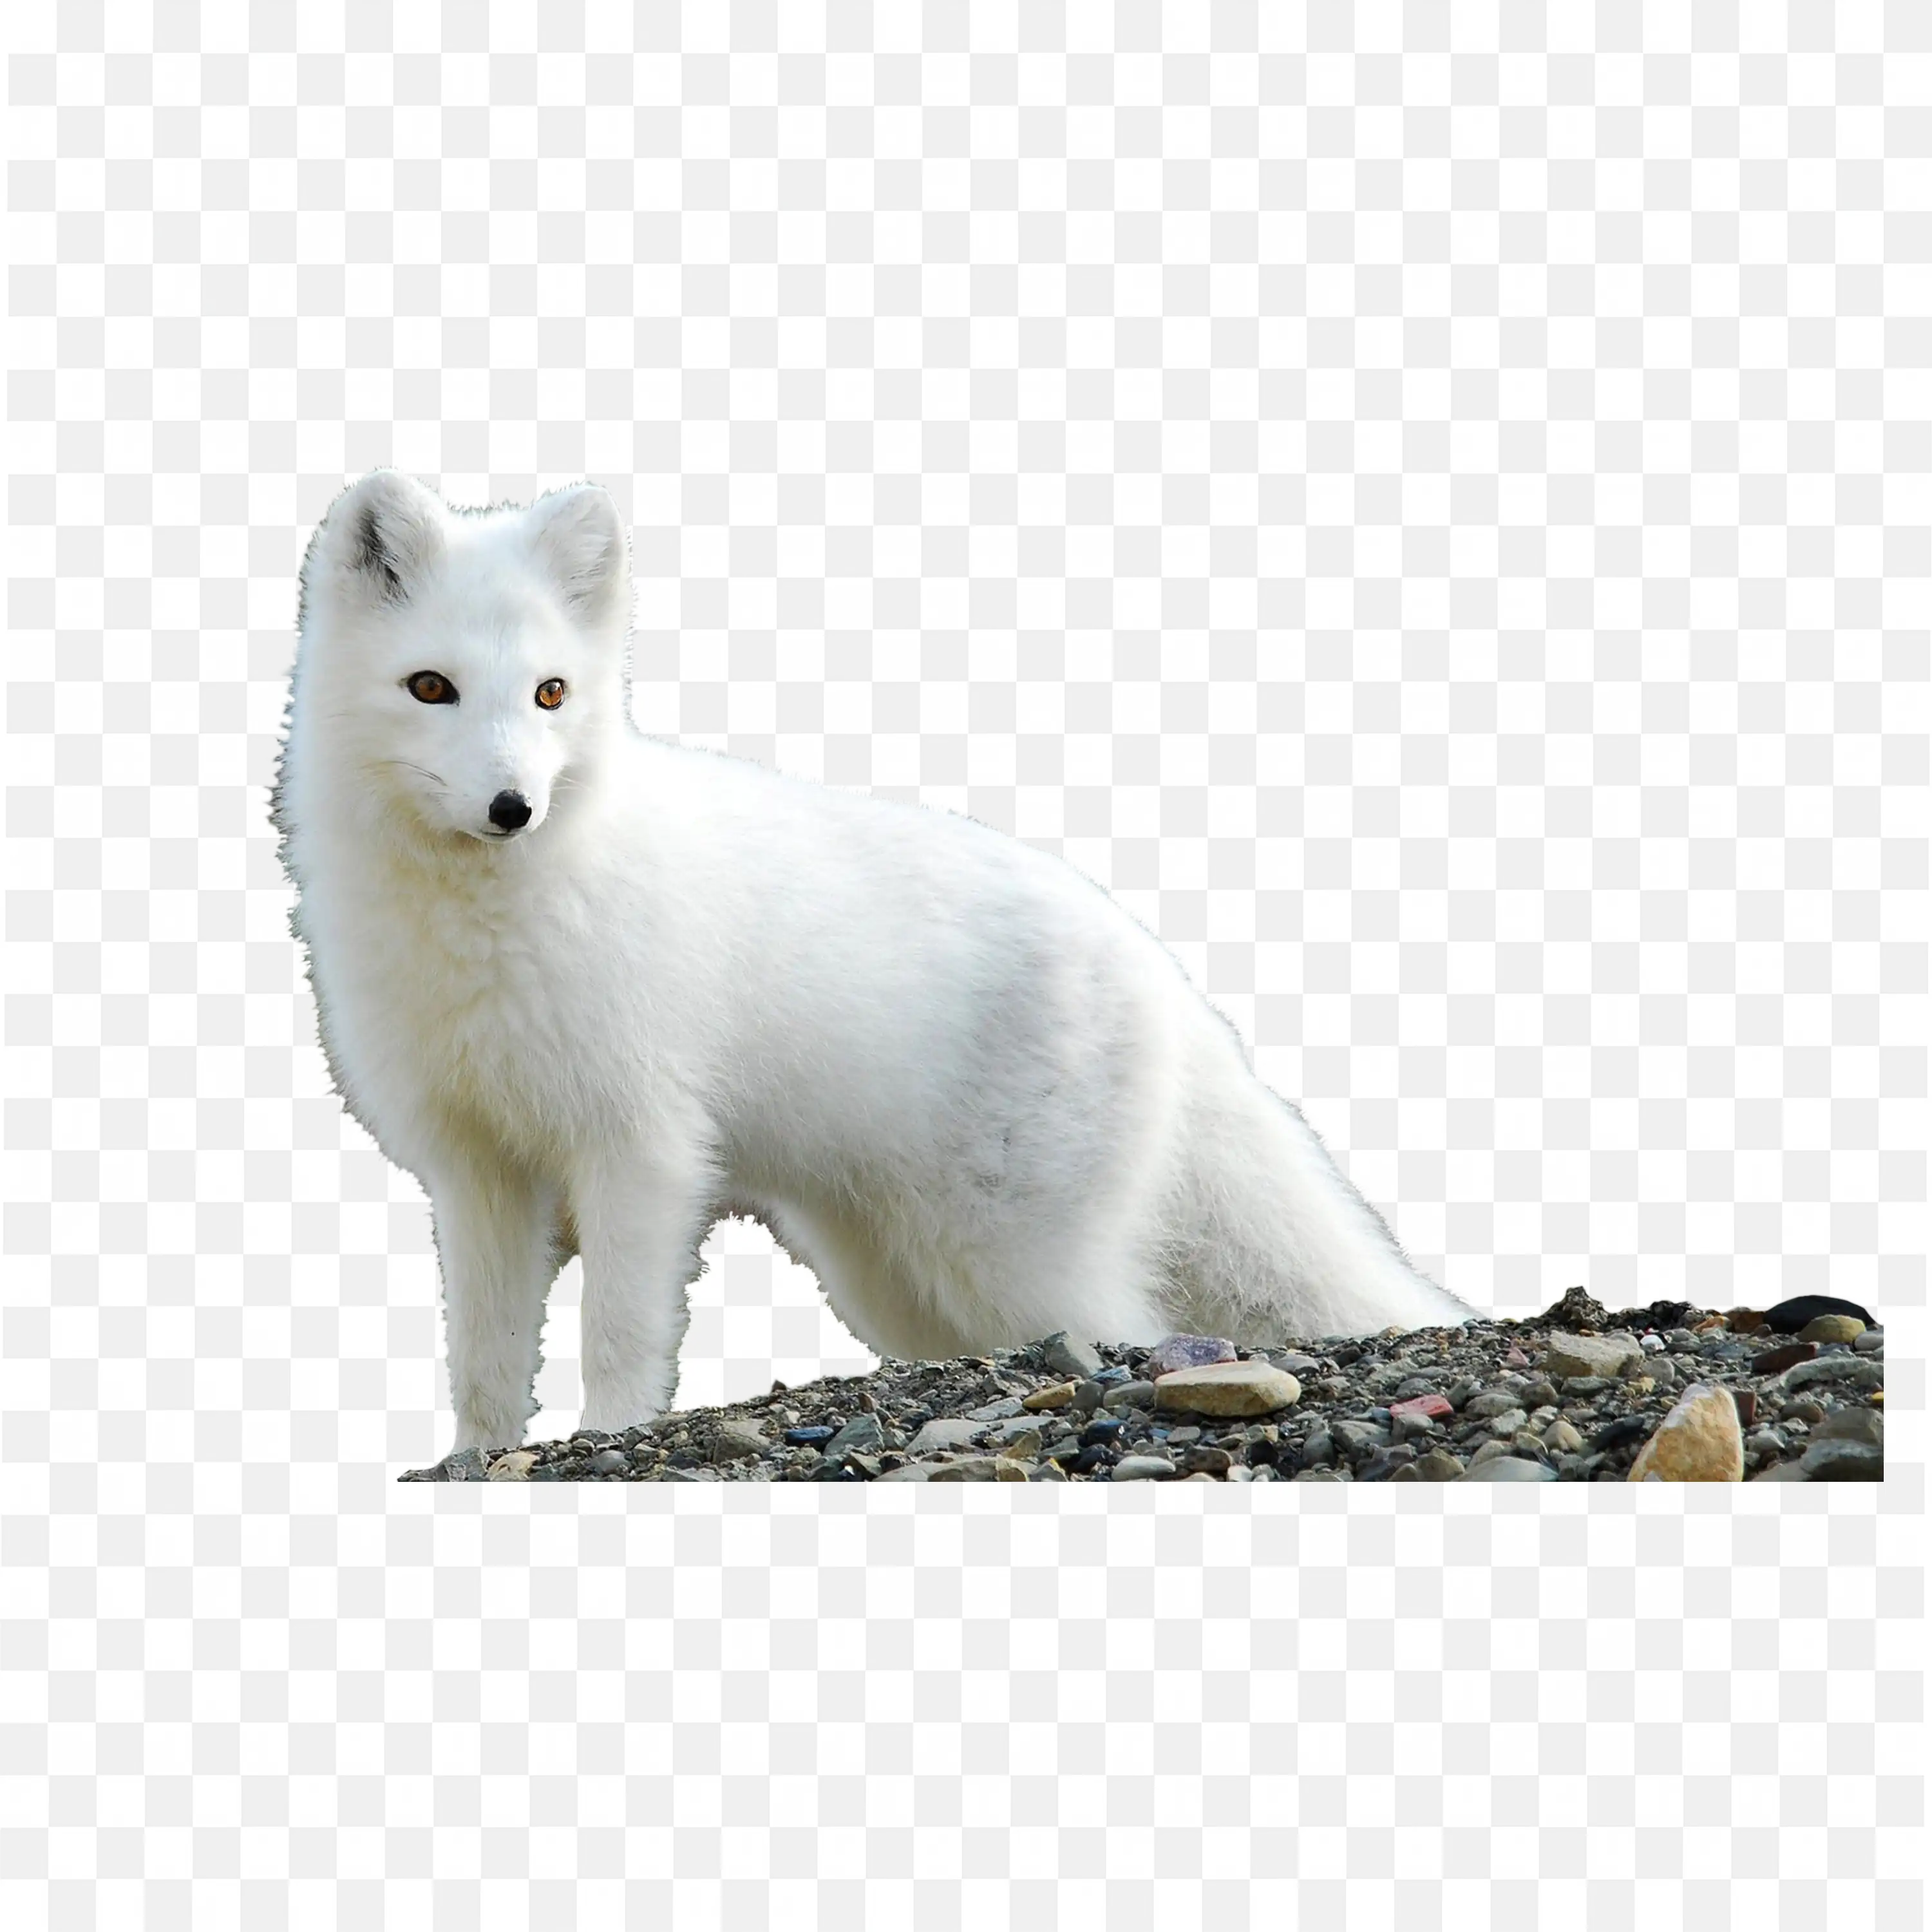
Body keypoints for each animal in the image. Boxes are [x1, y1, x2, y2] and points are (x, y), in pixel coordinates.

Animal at [271, 470, 1472, 1453]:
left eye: (551, 694)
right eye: (431, 687)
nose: (513, 807)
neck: (480, 929)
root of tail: (1156, 965)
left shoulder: (640, 1144)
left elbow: (617, 1329)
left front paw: (605, 1436)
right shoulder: (474, 1166)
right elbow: (481, 1354)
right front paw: (475, 1459)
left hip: (1012, 1257)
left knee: (1127, 1329)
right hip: (892, 1271)